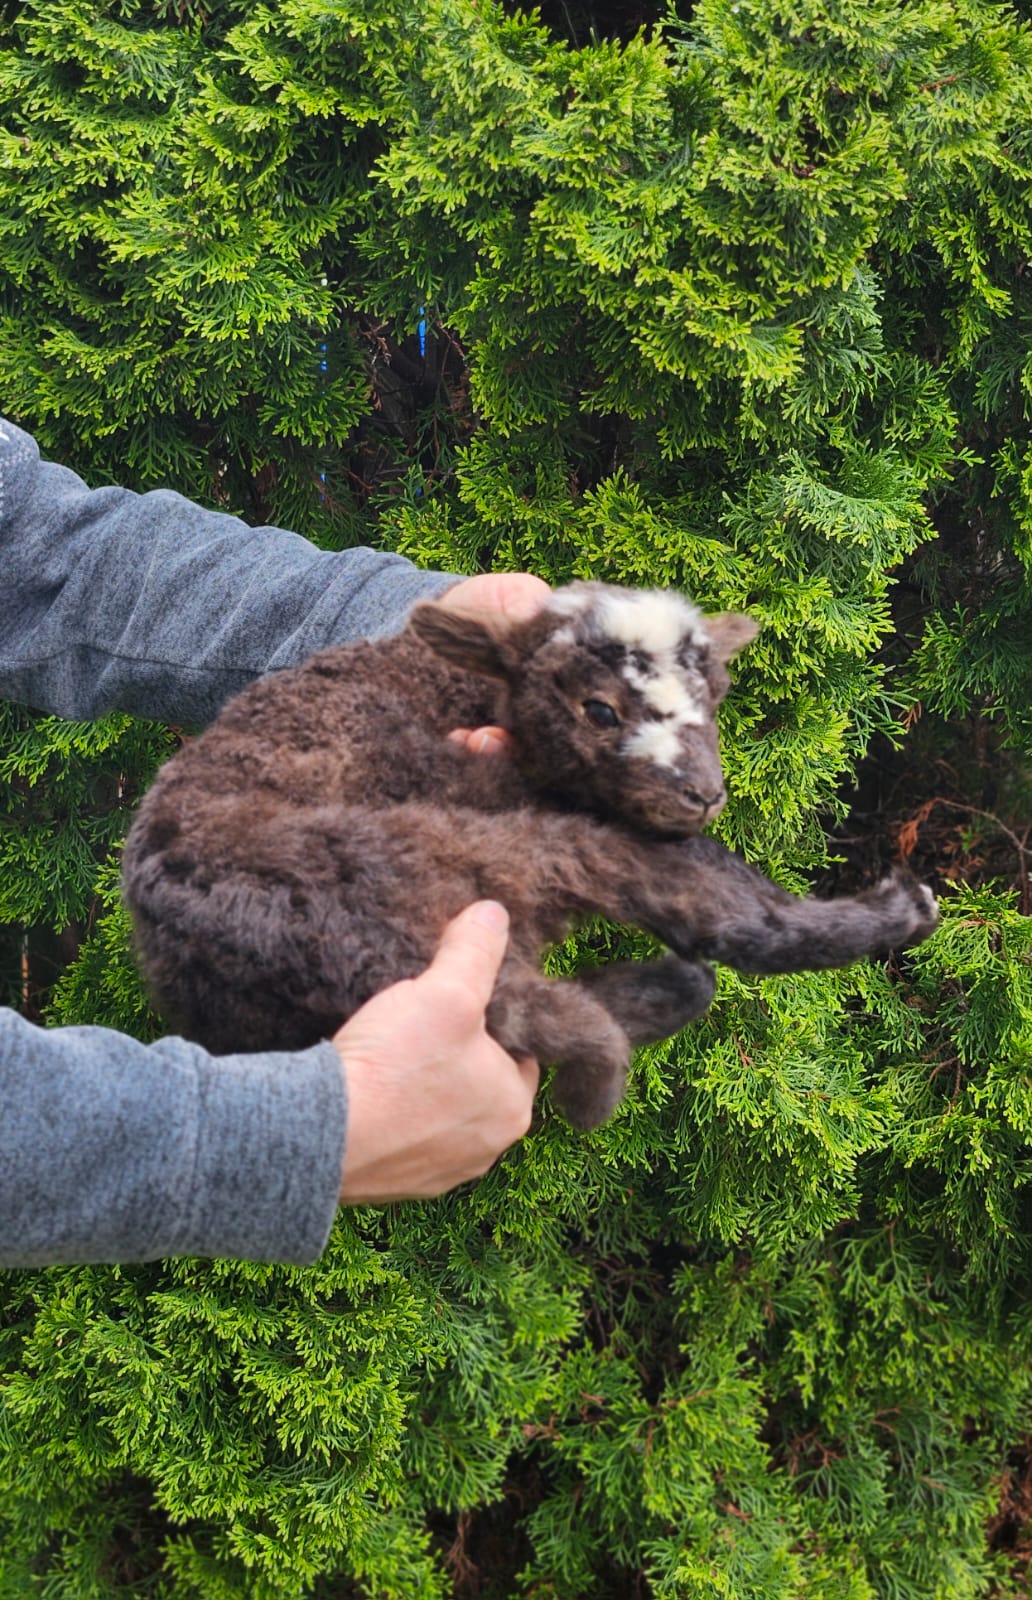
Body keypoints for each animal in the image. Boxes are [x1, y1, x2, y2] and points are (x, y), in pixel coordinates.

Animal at [121, 581, 939, 1130]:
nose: (703, 795)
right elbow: (712, 881)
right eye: (599, 709)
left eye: (716, 697)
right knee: (687, 917)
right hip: (449, 859)